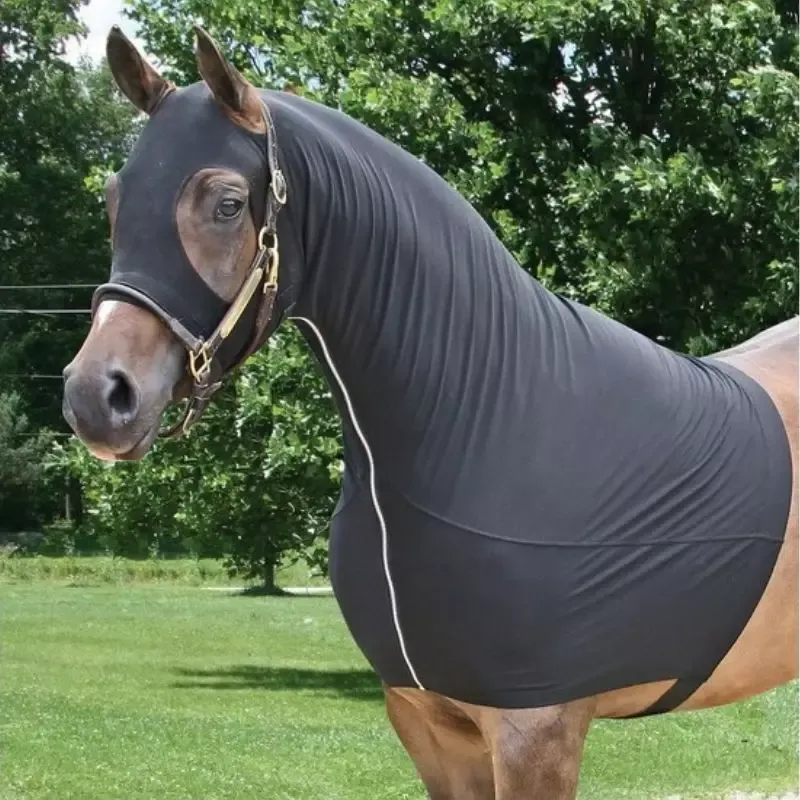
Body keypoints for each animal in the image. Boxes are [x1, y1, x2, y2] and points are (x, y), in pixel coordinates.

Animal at [61, 26, 798, 799]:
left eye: (228, 202)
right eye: (114, 200)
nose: (97, 396)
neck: (490, 421)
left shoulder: (539, 733)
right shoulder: (426, 722)